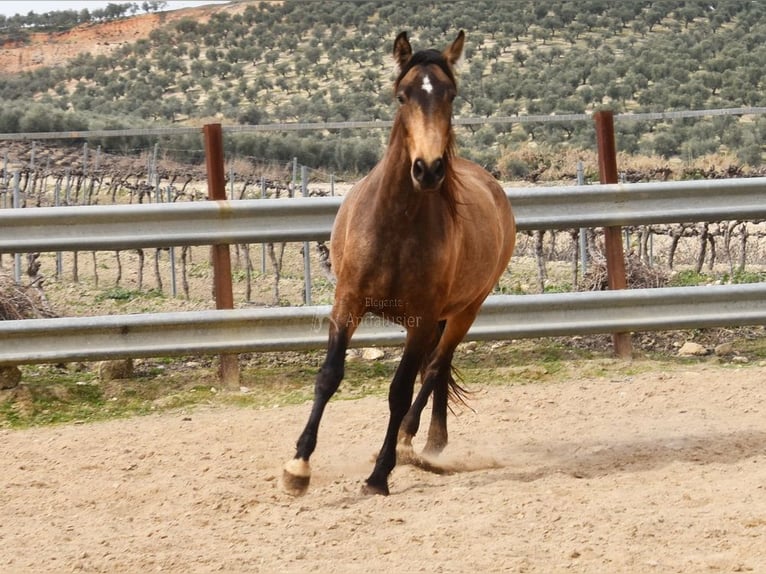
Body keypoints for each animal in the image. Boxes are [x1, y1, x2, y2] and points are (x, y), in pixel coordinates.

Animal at [282, 30, 516, 500]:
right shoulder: (347, 303)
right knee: (436, 369)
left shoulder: (420, 319)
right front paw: (298, 467)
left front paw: (379, 475)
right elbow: (329, 376)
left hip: (464, 311)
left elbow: (400, 390)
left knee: (436, 367)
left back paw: (413, 443)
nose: (428, 169)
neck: (395, 225)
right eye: (403, 95)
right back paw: (428, 442)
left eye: (450, 94)